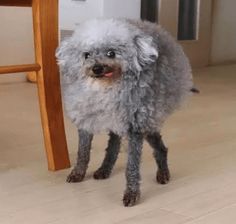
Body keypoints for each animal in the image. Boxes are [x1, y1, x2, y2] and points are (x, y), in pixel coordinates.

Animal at [56, 18, 195, 206]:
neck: (107, 88)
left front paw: (132, 193)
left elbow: (132, 166)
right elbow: (83, 152)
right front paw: (78, 173)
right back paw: (105, 169)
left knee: (161, 148)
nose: (96, 68)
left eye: (111, 53)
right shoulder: (86, 122)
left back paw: (163, 173)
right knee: (114, 144)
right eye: (86, 55)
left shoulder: (135, 128)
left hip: (146, 122)